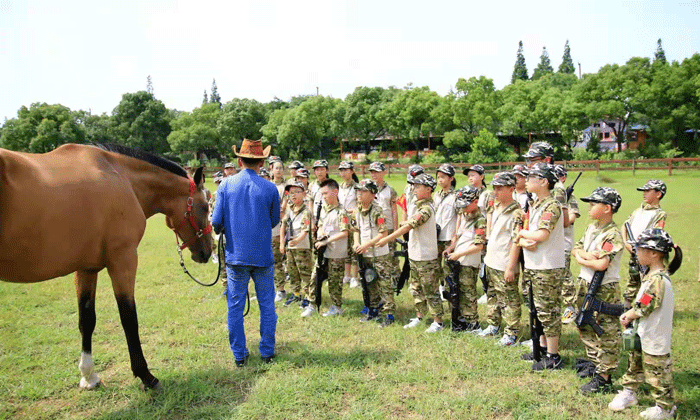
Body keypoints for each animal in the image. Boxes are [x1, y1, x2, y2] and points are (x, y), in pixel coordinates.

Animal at [0, 144, 213, 390]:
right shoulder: (123, 260)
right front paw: (146, 375)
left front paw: (89, 375)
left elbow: (86, 319)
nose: (208, 251)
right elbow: (129, 318)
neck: (121, 176)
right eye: (204, 206)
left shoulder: (86, 268)